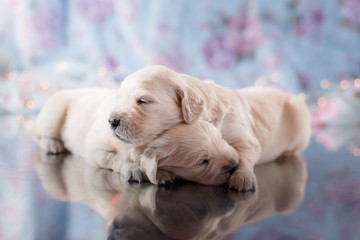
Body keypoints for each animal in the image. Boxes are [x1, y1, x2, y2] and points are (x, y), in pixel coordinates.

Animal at [112, 65, 312, 191]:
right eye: (119, 99)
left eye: (143, 101)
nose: (111, 120)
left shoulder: (245, 137)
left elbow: (245, 154)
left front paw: (243, 177)